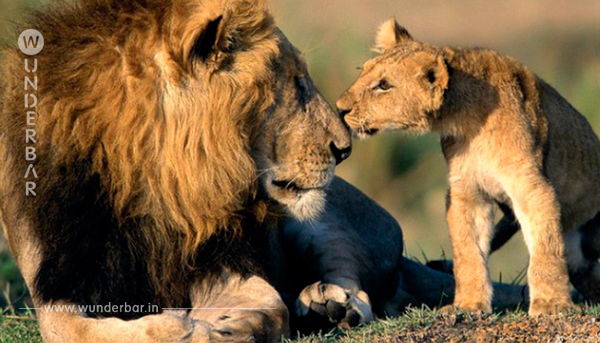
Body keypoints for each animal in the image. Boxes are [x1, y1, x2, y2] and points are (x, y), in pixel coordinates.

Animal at [0, 0, 410, 343]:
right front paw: (183, 329)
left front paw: (232, 327)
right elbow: (79, 330)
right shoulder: (56, 289)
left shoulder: (219, 261)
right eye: (296, 84)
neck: (151, 183)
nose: (344, 149)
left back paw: (330, 304)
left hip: (324, 220)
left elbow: (271, 306)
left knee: (352, 274)